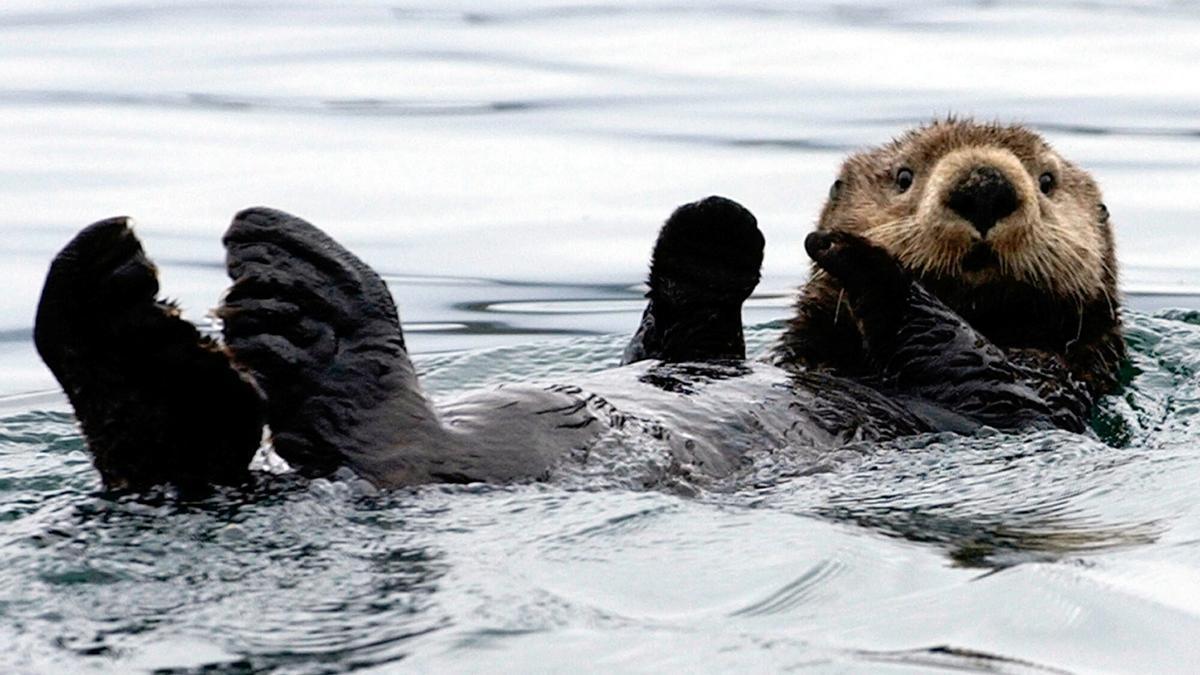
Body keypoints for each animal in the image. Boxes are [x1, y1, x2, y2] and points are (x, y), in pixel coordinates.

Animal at [32, 119, 1118, 494]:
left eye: (1047, 180)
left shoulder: (1033, 395)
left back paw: (299, 305)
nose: (984, 186)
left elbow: (965, 356)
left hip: (419, 449)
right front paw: (714, 230)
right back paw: (116, 316)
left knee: (381, 437)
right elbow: (680, 329)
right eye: (902, 175)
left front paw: (855, 259)